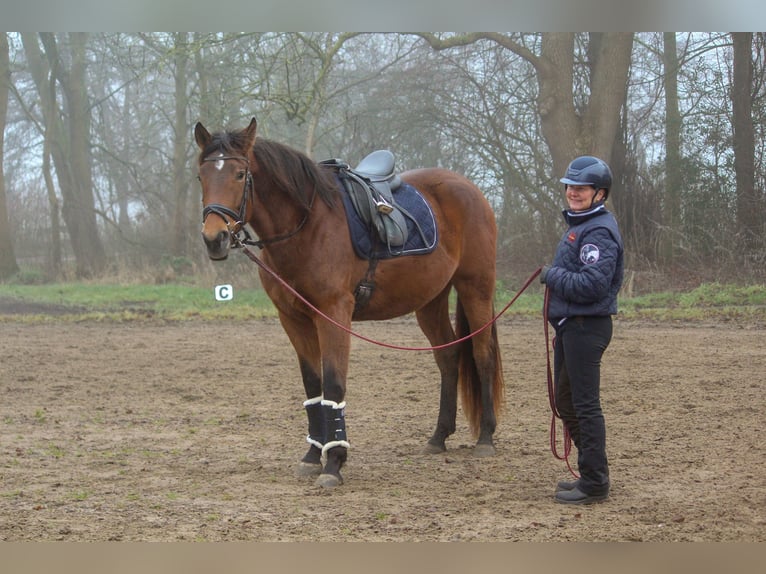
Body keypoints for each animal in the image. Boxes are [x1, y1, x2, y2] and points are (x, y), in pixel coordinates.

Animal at [194, 119, 504, 488]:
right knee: (449, 355)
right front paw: (313, 454)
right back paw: (439, 436)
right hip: (430, 301)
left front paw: (334, 461)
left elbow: (333, 383)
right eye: (201, 176)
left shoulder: (333, 314)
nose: (214, 239)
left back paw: (485, 437)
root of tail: (470, 189)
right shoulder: (293, 319)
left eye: (240, 174)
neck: (308, 225)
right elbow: (313, 386)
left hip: (476, 288)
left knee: (482, 355)